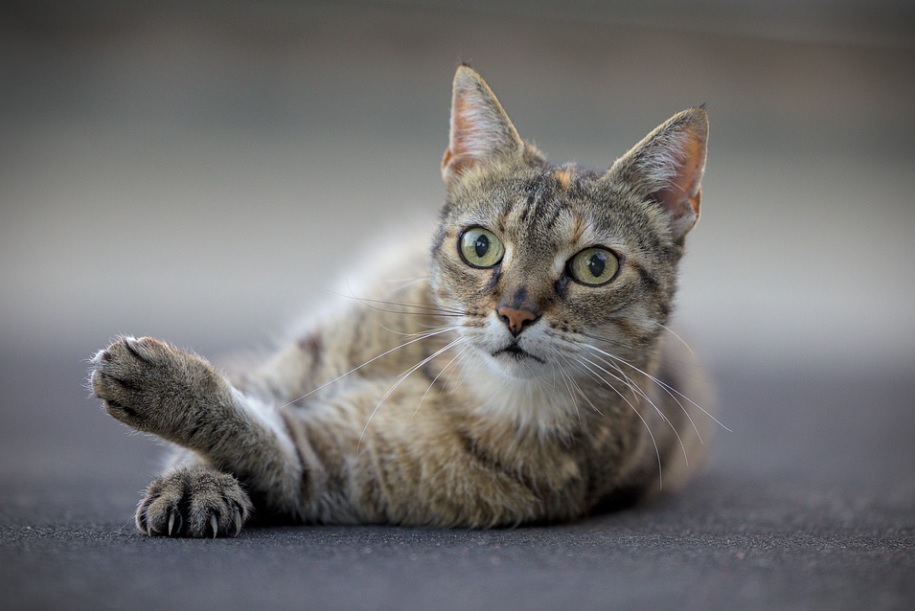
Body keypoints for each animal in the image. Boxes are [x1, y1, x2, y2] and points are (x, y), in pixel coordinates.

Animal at [89, 64, 712, 536]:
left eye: (595, 266)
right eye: (480, 246)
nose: (515, 313)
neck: (453, 382)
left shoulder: (330, 469)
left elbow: (258, 436)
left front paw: (169, 386)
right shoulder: (291, 372)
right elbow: (242, 399)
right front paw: (195, 479)